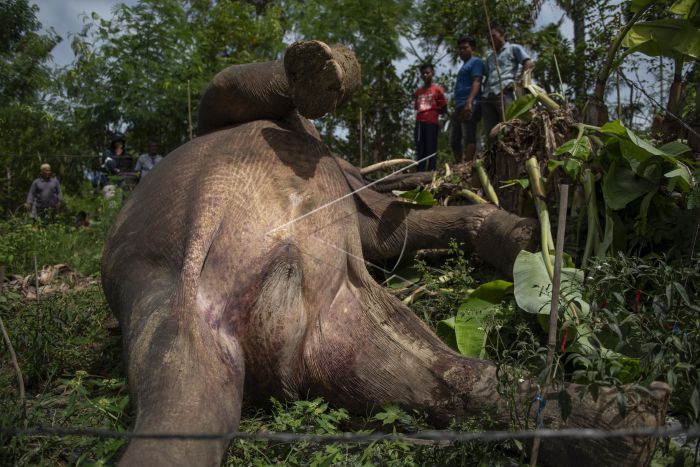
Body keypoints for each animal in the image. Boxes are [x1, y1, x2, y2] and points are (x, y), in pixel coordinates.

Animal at [101, 40, 669, 466]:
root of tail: (190, 301)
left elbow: (396, 232)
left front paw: (524, 237)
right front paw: (525, 236)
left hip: (320, 330)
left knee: (428, 374)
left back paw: (639, 425)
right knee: (230, 87)